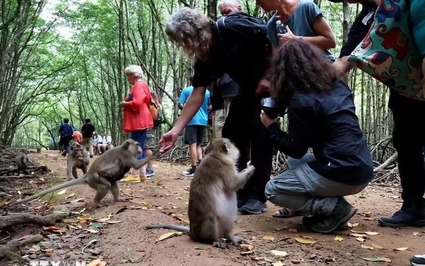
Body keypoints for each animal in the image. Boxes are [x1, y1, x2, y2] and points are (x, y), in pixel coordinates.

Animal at [13, 139, 151, 208]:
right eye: (137, 144)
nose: (140, 148)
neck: (125, 148)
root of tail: (88, 175)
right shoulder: (126, 155)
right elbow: (136, 165)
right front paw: (152, 153)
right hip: (94, 180)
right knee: (105, 185)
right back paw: (97, 202)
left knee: (112, 184)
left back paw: (118, 199)